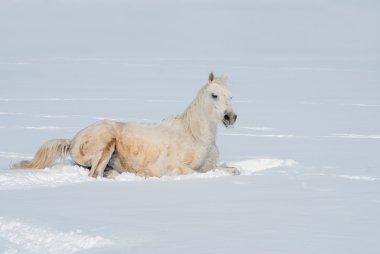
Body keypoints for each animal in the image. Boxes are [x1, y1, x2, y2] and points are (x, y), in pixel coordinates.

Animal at [13, 72, 239, 178]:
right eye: (214, 95)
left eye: (231, 96)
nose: (230, 117)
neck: (195, 137)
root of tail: (73, 140)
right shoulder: (176, 168)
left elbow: (232, 170)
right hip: (106, 144)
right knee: (95, 174)